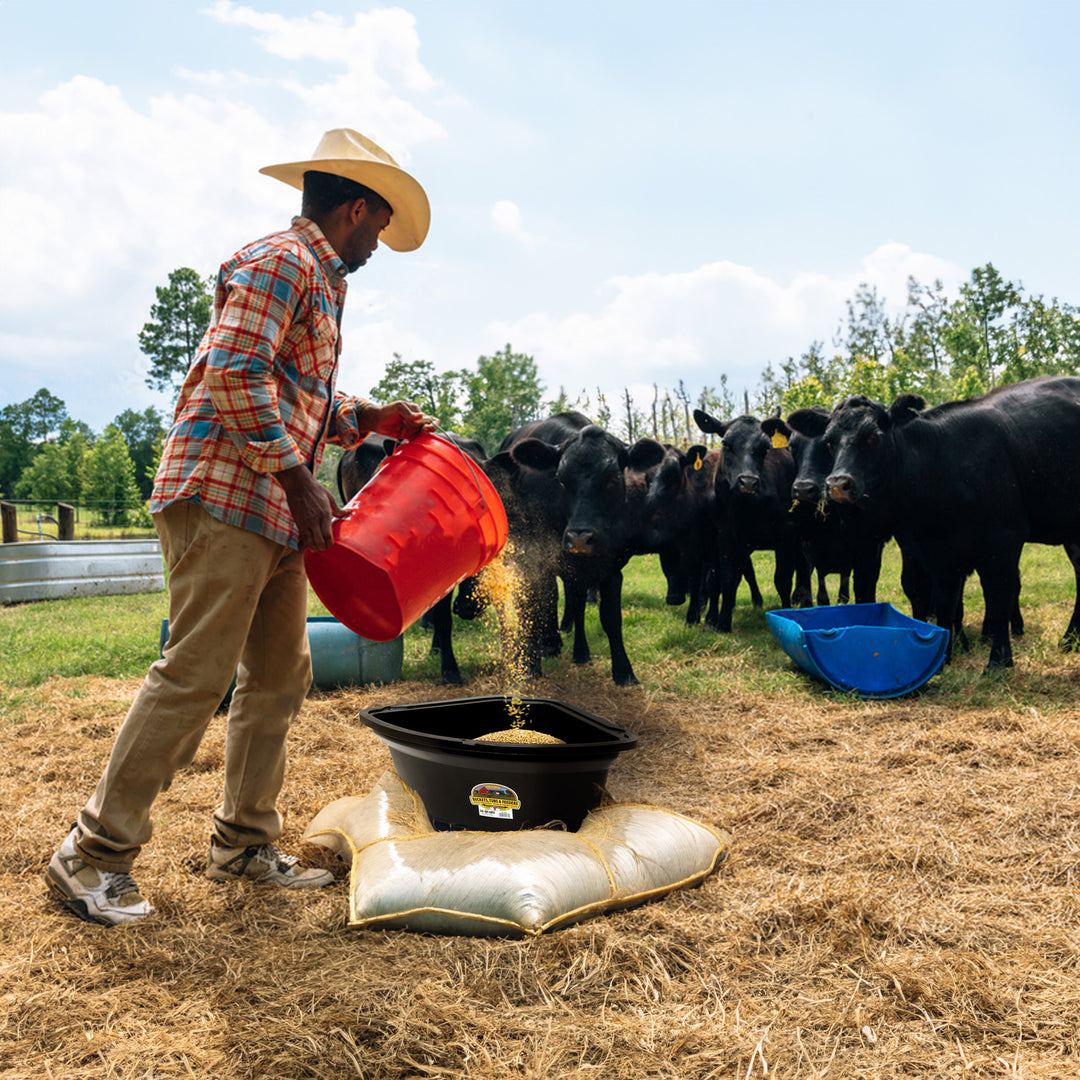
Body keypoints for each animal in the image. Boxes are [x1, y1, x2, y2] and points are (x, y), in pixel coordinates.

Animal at [691, 406, 812, 630]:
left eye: (765, 448)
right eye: (726, 444)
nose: (747, 481)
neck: (746, 506)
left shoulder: (785, 527)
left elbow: (782, 579)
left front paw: (786, 616)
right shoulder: (726, 532)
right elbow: (727, 579)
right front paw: (722, 622)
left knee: (804, 566)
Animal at [816, 378, 1080, 665]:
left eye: (873, 436)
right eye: (828, 442)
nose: (838, 484)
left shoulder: (1004, 539)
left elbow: (999, 595)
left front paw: (998, 661)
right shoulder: (923, 549)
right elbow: (934, 598)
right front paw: (941, 655)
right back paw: (1070, 640)